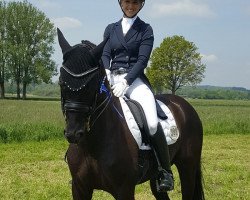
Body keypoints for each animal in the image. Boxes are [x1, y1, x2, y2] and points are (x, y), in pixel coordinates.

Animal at [57, 28, 205, 200]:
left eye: (92, 83)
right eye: (61, 82)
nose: (73, 133)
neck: (92, 147)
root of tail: (184, 104)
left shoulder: (124, 190)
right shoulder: (80, 188)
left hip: (187, 166)